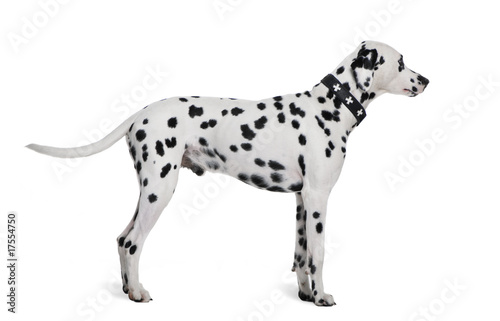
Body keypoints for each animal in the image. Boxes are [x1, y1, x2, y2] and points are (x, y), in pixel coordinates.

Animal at [27, 40, 428, 304]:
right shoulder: (318, 199)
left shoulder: (302, 200)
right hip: (160, 190)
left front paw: (303, 293)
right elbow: (318, 254)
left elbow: (300, 255)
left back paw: (128, 288)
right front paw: (321, 297)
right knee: (132, 242)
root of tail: (139, 114)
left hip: (149, 192)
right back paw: (138, 293)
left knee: (121, 238)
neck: (330, 106)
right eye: (401, 62)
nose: (426, 80)